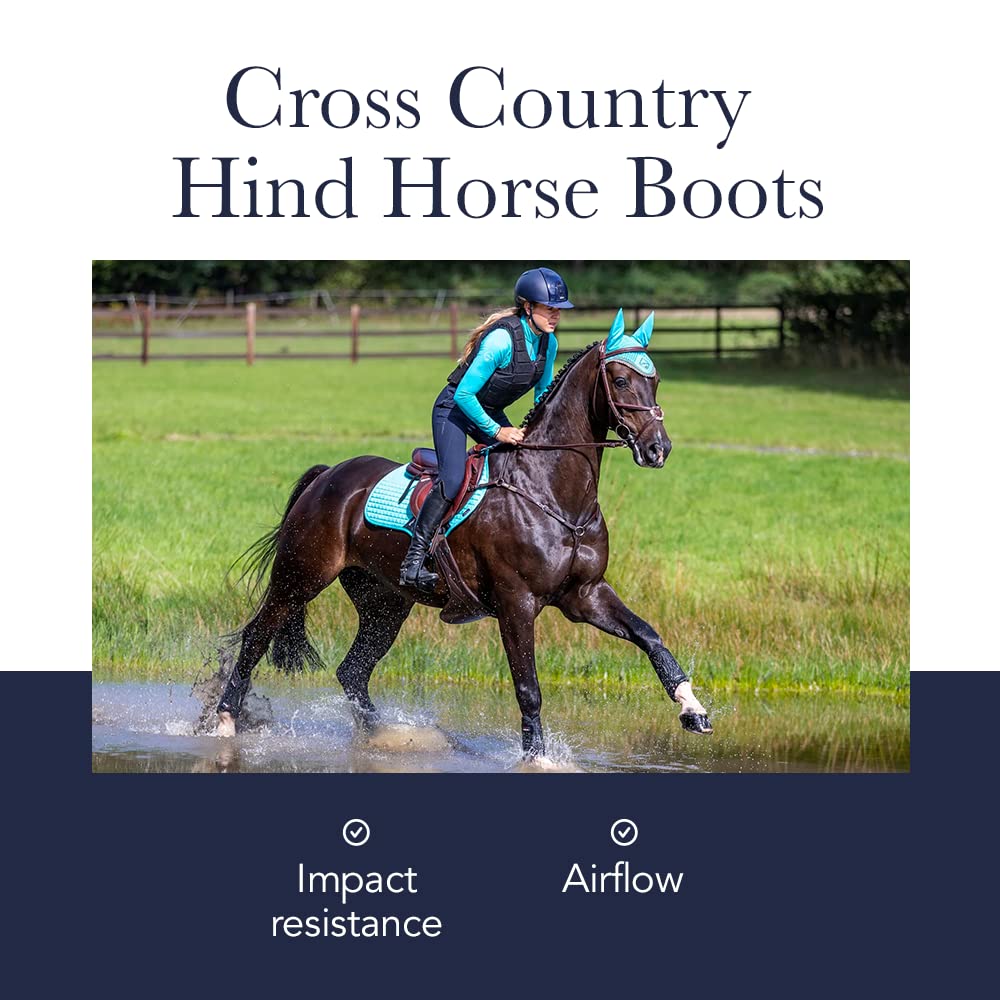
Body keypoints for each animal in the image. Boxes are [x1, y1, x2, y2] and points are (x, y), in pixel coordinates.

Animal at [215, 309, 713, 756]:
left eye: (656, 381)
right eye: (622, 381)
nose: (658, 449)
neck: (553, 493)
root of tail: (328, 476)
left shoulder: (585, 594)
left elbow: (649, 637)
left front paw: (693, 709)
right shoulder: (517, 603)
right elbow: (528, 688)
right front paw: (538, 759)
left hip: (384, 603)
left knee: (353, 671)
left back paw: (388, 737)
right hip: (300, 577)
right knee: (256, 637)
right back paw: (223, 722)